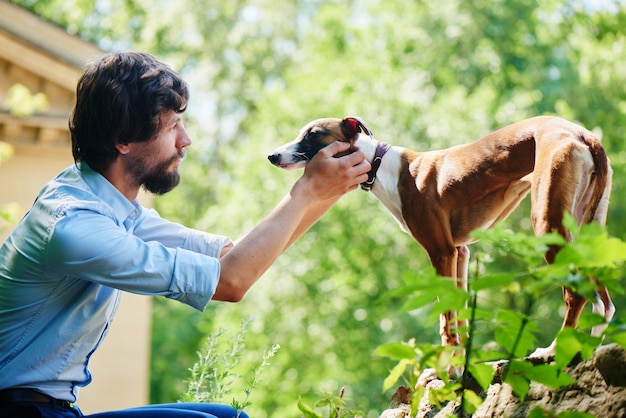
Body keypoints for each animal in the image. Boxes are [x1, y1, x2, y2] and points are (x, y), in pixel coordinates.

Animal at [266, 116, 612, 358]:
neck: (384, 166)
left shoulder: (441, 251)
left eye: (312, 134)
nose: (271, 156)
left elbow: (446, 319)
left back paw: (554, 350)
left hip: (548, 226)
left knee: (577, 293)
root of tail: (585, 135)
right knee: (604, 303)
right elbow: (458, 315)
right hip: (585, 228)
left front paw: (447, 368)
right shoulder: (459, 252)